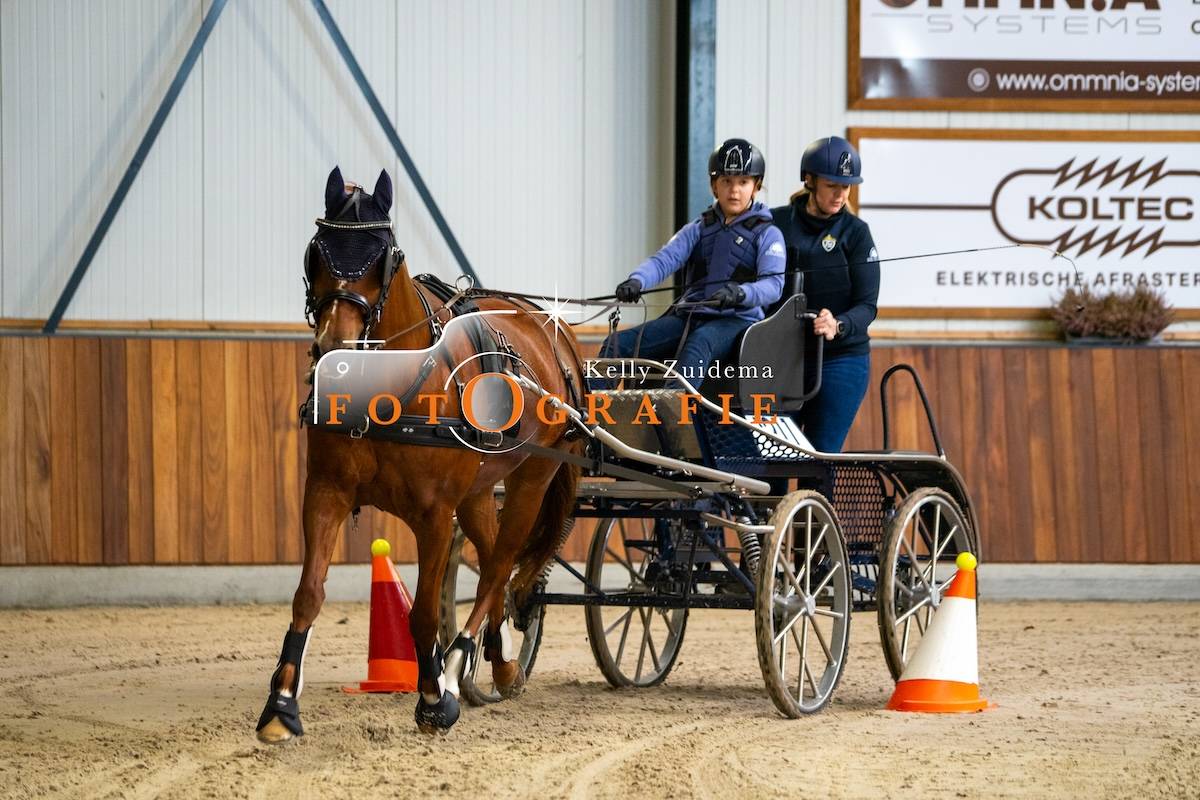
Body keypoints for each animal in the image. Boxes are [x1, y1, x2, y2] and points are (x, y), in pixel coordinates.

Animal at [256, 166, 583, 740]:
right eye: (318, 251)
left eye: (383, 255)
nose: (334, 347)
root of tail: (552, 328)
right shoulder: (325, 492)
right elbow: (308, 594)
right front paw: (281, 705)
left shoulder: (433, 513)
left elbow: (425, 613)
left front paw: (433, 699)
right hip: (479, 490)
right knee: (493, 560)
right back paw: (500, 663)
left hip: (532, 478)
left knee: (500, 566)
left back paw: (456, 665)